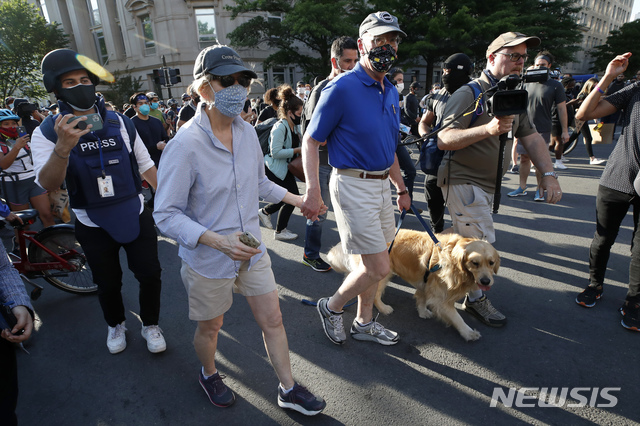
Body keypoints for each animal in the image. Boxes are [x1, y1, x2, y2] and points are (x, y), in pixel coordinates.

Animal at [330, 230, 500, 340]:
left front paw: (423, 311)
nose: (486, 281)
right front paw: (469, 333)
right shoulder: (441, 298)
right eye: (475, 263)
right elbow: (457, 318)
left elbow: (422, 298)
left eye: (491, 263)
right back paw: (383, 308)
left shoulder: (427, 283)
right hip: (380, 272)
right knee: (374, 294)